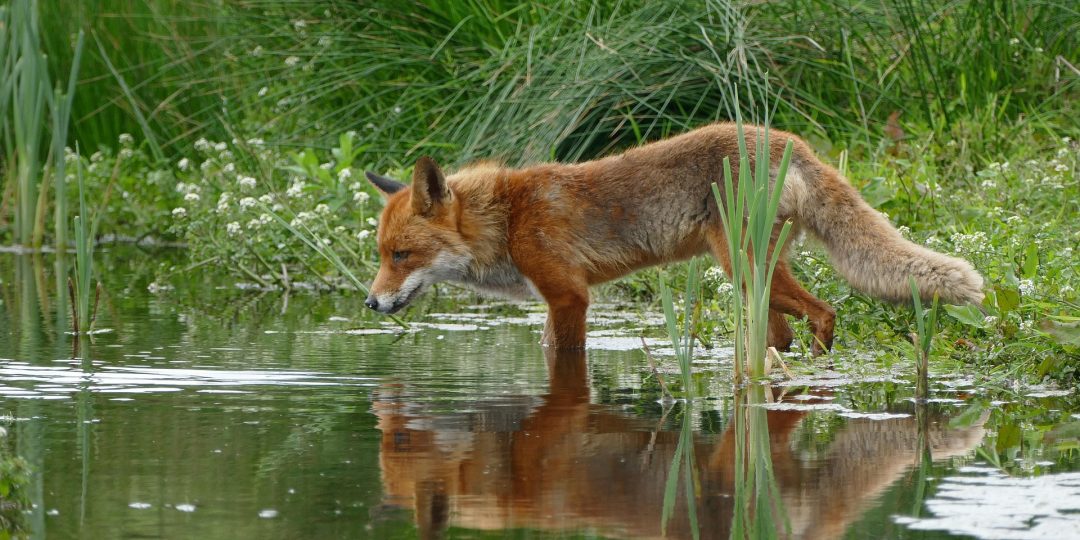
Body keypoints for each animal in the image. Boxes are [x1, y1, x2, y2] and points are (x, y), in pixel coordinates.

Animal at [363, 122, 984, 354]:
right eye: (382, 256)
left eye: (403, 255)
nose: (370, 303)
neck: (508, 219)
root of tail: (790, 141)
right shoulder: (557, 300)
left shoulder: (569, 297)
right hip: (756, 279)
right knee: (785, 331)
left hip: (742, 267)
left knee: (826, 311)